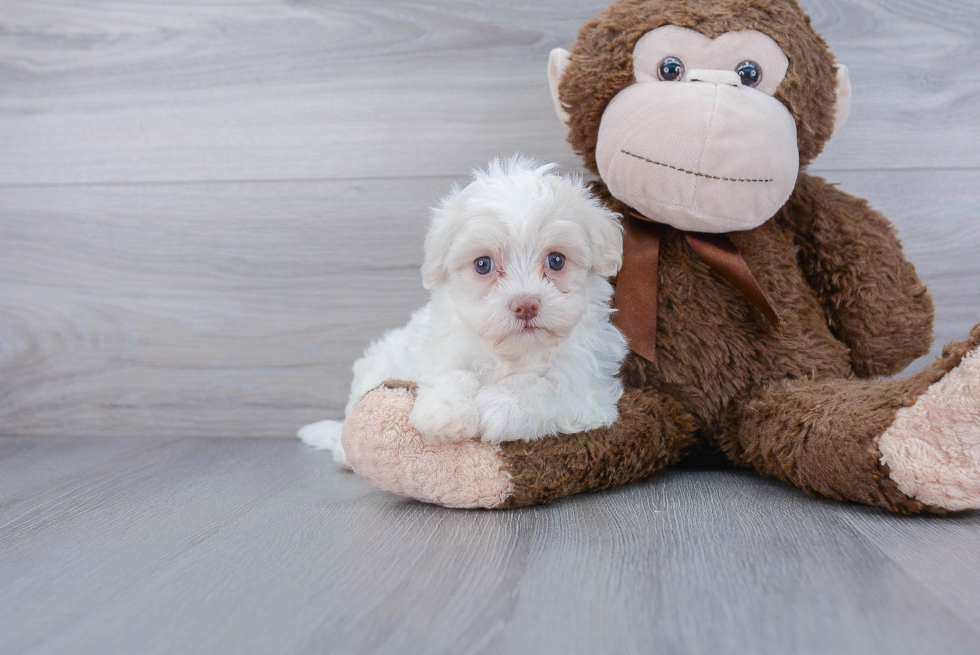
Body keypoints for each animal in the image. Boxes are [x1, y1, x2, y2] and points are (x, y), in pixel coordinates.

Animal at [298, 158, 628, 466]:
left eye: (556, 260)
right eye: (483, 264)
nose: (525, 304)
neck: (513, 354)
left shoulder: (588, 388)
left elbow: (548, 384)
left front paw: (503, 405)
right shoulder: (442, 347)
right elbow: (452, 372)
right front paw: (445, 410)